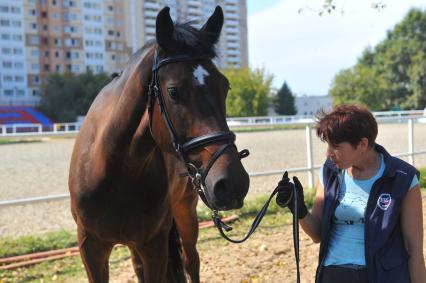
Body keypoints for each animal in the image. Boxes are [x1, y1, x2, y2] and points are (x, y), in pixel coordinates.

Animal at [69, 5, 250, 283]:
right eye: (174, 91)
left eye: (225, 86)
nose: (232, 184)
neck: (114, 169)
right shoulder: (91, 248)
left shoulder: (153, 245)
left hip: (185, 212)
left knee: (191, 261)